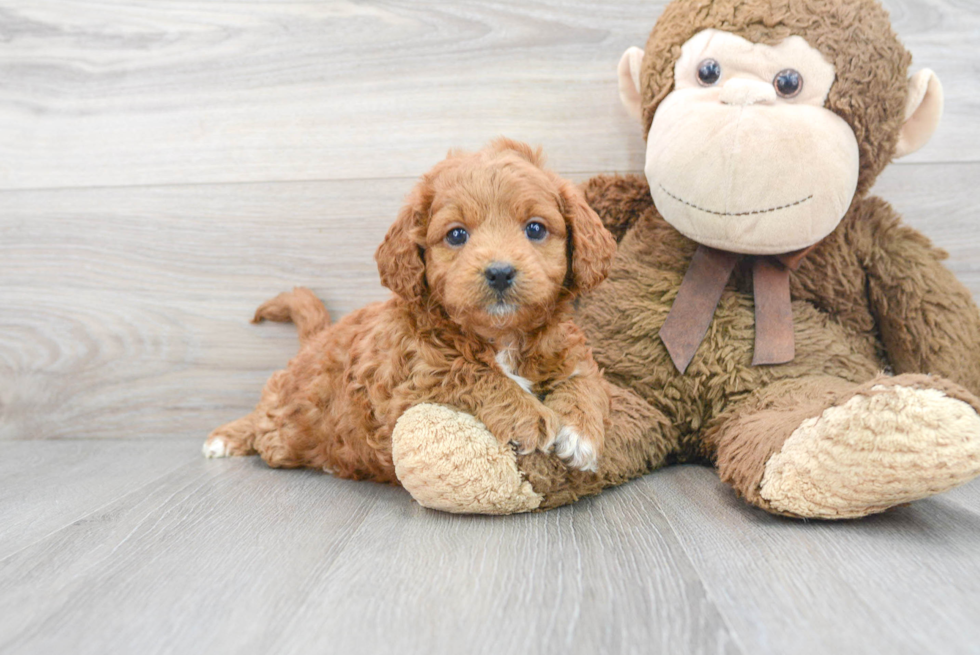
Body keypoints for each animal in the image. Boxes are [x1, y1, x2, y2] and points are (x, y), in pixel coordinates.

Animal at [203, 138, 616, 480]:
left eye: (535, 229)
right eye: (456, 235)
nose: (499, 272)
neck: (502, 337)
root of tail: (317, 338)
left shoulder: (569, 351)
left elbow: (584, 379)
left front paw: (581, 433)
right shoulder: (409, 384)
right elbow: (469, 373)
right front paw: (528, 417)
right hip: (286, 417)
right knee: (265, 417)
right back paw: (226, 437)